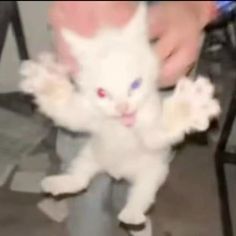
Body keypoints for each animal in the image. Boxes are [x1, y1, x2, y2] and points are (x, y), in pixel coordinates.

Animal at [18, 2, 219, 227]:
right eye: (102, 93)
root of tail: (117, 172)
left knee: (142, 193)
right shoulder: (88, 115)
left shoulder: (151, 130)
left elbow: (160, 130)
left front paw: (189, 104)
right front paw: (46, 82)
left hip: (153, 172)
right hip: (90, 155)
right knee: (81, 179)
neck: (121, 124)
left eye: (136, 84)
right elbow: (68, 110)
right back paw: (63, 182)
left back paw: (132, 215)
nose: (123, 107)